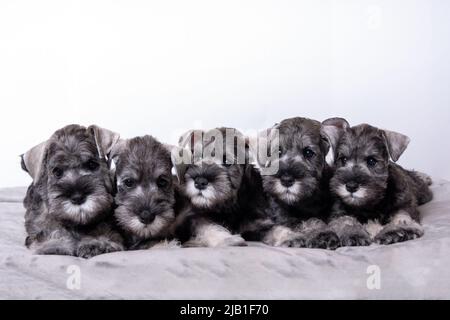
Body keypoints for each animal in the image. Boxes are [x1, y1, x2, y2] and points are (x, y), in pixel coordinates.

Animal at [20, 124, 124, 258]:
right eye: (57, 171)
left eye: (92, 164)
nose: (78, 197)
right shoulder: (41, 216)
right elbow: (51, 227)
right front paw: (56, 244)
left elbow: (102, 228)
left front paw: (97, 243)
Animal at [255, 117, 346, 250]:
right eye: (278, 151)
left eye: (308, 152)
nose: (286, 180)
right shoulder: (283, 218)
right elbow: (308, 222)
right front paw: (322, 234)